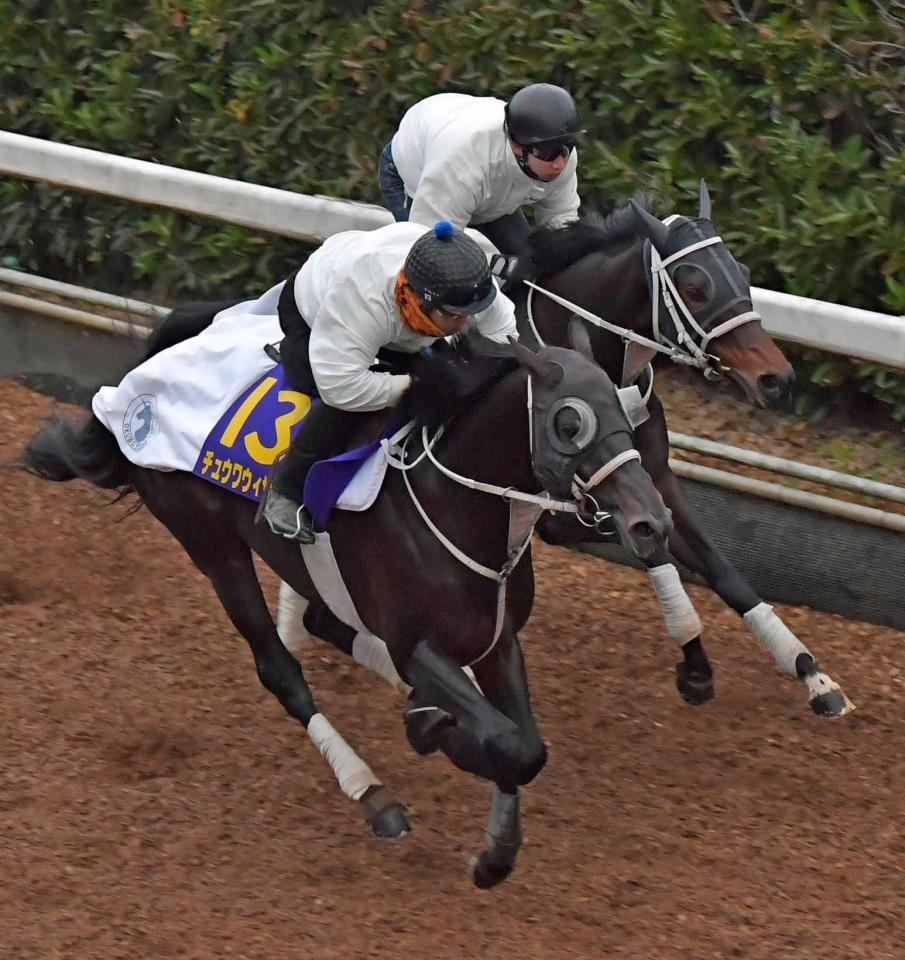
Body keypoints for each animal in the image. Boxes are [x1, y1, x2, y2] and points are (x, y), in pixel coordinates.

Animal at [23, 320, 672, 884]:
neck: (449, 503)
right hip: (213, 546)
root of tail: (129, 392)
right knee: (279, 669)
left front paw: (494, 849)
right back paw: (374, 791)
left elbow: (525, 746)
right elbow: (503, 741)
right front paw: (441, 744)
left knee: (319, 620)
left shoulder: (497, 639)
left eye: (626, 406)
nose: (652, 524)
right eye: (569, 423)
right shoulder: (415, 642)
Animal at [520, 180, 852, 720]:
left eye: (744, 273)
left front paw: (810, 671)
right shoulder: (563, 505)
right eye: (695, 287)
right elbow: (650, 546)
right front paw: (695, 660)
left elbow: (721, 568)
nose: (777, 379)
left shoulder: (655, 478)